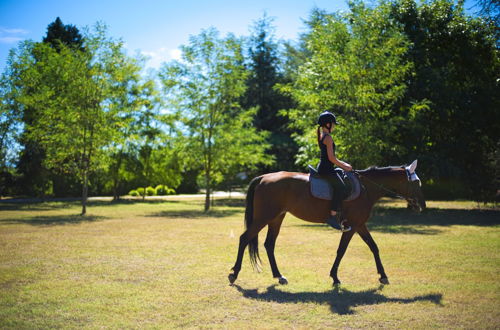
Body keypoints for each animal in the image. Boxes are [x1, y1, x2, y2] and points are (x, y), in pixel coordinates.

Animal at [228, 160, 426, 286]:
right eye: (416, 182)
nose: (421, 205)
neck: (366, 187)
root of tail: (263, 178)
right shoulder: (352, 226)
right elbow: (342, 250)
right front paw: (335, 277)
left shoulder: (359, 225)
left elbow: (373, 247)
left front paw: (383, 276)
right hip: (264, 217)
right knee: (244, 238)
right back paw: (234, 274)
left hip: (277, 217)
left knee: (269, 244)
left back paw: (279, 276)